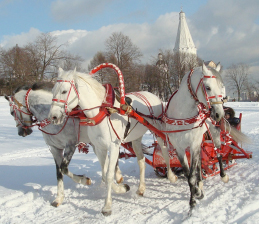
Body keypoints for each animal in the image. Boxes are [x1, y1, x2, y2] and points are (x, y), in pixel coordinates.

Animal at [48, 67, 166, 215]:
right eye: (53, 91)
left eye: (64, 91)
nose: (53, 116)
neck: (103, 111)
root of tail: (153, 95)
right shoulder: (99, 148)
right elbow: (104, 175)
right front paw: (122, 188)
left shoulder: (114, 146)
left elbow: (109, 175)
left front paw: (107, 206)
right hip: (136, 138)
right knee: (141, 160)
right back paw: (141, 188)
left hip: (158, 130)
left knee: (165, 150)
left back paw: (171, 175)